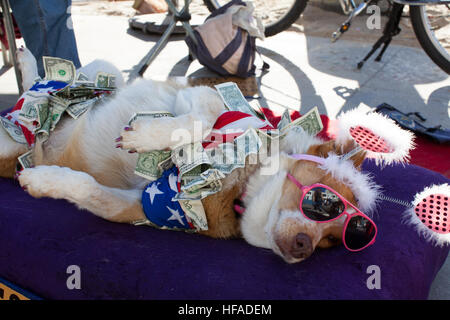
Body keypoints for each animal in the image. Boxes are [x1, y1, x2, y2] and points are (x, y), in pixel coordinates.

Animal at [0, 47, 384, 262]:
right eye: (324, 201)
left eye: (330, 242)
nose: (305, 247)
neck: (239, 182)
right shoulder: (205, 99)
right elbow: (197, 121)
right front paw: (144, 136)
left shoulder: (140, 206)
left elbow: (87, 189)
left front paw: (41, 181)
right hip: (95, 73)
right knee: (42, 88)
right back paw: (28, 65)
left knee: (36, 97)